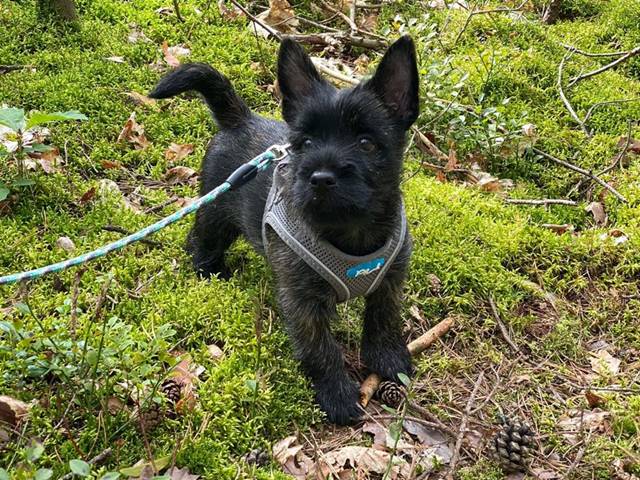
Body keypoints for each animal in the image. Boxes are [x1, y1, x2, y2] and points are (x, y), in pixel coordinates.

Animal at [149, 35, 419, 424]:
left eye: (367, 143)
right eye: (305, 143)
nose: (320, 177)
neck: (350, 232)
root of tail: (241, 118)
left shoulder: (390, 281)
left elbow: (383, 318)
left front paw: (388, 358)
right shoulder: (302, 303)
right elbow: (322, 350)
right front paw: (336, 395)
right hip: (216, 212)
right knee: (201, 240)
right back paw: (210, 272)